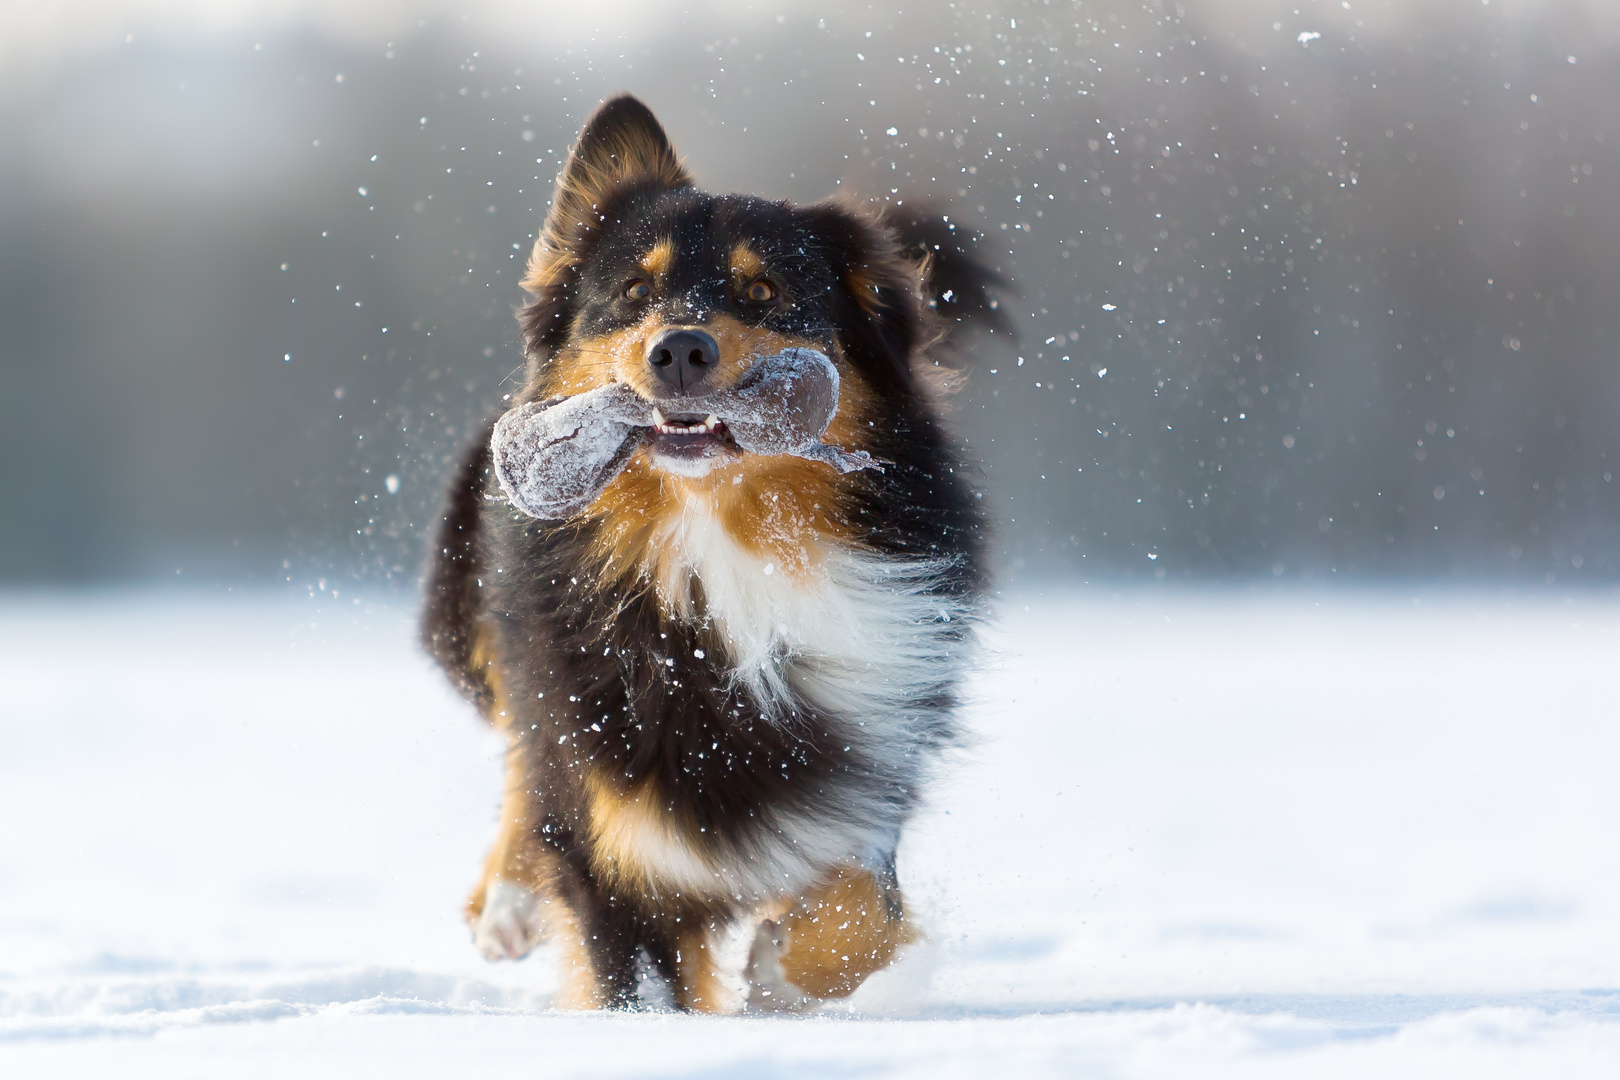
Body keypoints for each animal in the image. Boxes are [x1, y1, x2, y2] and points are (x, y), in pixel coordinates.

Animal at [421, 95, 997, 1016]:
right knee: (524, 759)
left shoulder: (867, 765)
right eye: (635, 290)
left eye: (765, 291)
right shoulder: (613, 846)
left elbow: (861, 914)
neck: (716, 546)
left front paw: (779, 967)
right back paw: (506, 899)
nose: (680, 349)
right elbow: (633, 967)